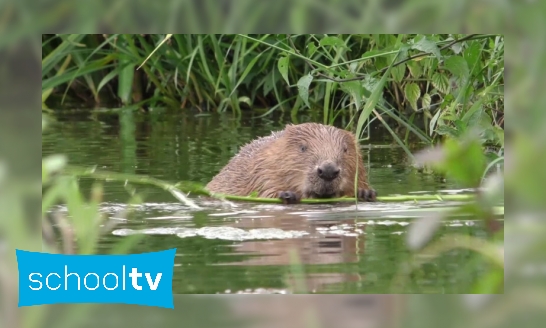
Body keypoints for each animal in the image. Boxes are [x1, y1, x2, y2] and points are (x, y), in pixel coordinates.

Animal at [204, 121, 374, 204]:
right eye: (303, 147)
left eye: (345, 149)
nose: (328, 170)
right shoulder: (262, 170)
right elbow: (265, 193)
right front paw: (288, 195)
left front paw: (365, 193)